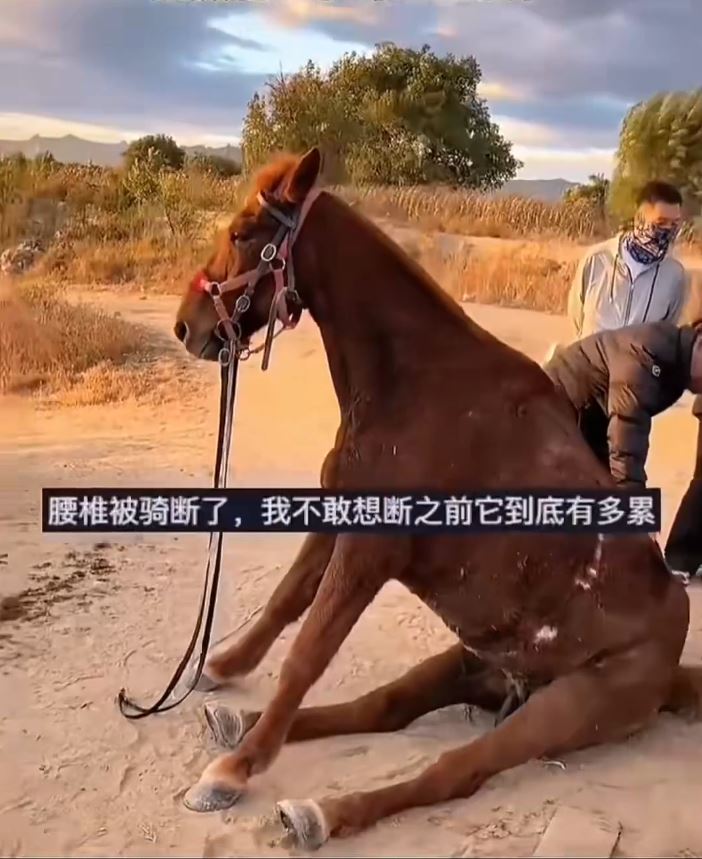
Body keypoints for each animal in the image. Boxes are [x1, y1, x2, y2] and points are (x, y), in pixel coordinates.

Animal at [173, 147, 701, 849]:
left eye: (240, 235)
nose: (187, 326)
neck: (416, 384)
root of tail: (671, 666)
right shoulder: (340, 515)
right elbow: (286, 604)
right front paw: (223, 670)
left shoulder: (371, 551)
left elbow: (307, 654)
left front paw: (235, 773)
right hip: (470, 666)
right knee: (383, 707)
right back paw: (247, 732)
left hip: (568, 709)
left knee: (452, 773)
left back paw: (318, 811)